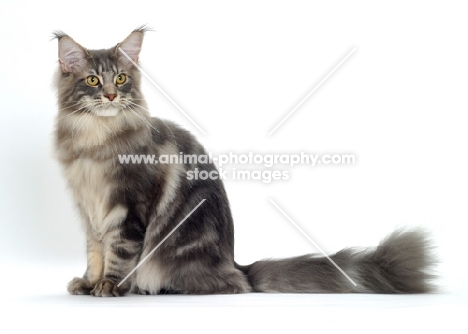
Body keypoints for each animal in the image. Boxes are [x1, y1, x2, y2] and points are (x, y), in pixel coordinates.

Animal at [54, 27, 436, 296]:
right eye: (93, 80)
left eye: (120, 78)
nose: (110, 95)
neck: (94, 140)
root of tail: (237, 264)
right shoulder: (89, 211)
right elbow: (95, 253)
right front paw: (89, 283)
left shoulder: (128, 208)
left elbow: (119, 253)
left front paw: (110, 286)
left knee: (227, 285)